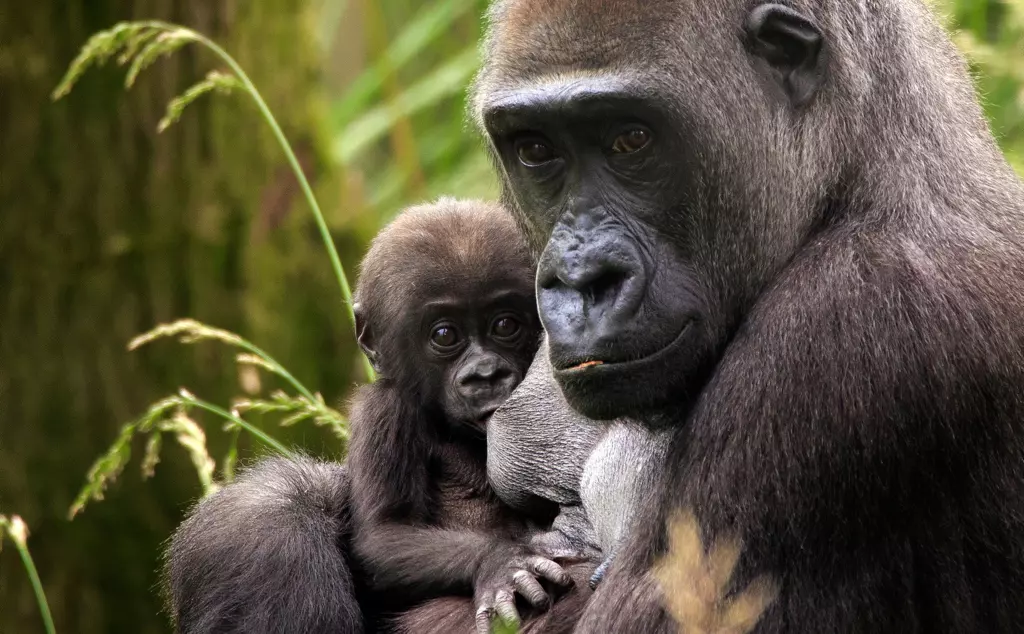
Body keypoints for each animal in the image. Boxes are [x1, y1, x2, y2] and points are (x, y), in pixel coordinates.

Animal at [348, 197, 573, 630]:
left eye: (505, 325)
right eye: (444, 335)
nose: (486, 374)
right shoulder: (383, 412)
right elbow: (386, 536)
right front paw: (500, 562)